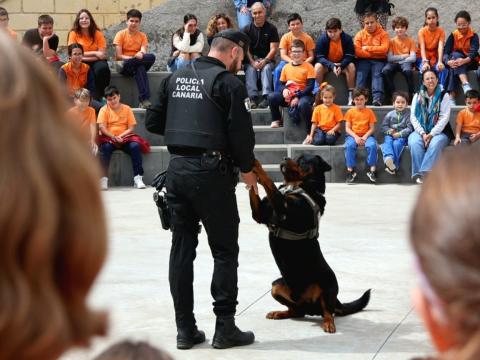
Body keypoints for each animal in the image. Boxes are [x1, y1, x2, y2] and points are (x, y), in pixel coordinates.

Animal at [249, 153, 374, 334]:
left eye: (302, 160)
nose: (285, 157)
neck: (295, 185)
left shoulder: (283, 209)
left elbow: (269, 182)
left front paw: (257, 166)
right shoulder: (259, 214)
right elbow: (256, 192)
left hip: (327, 283)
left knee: (328, 311)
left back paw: (329, 323)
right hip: (276, 286)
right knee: (296, 311)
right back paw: (280, 313)